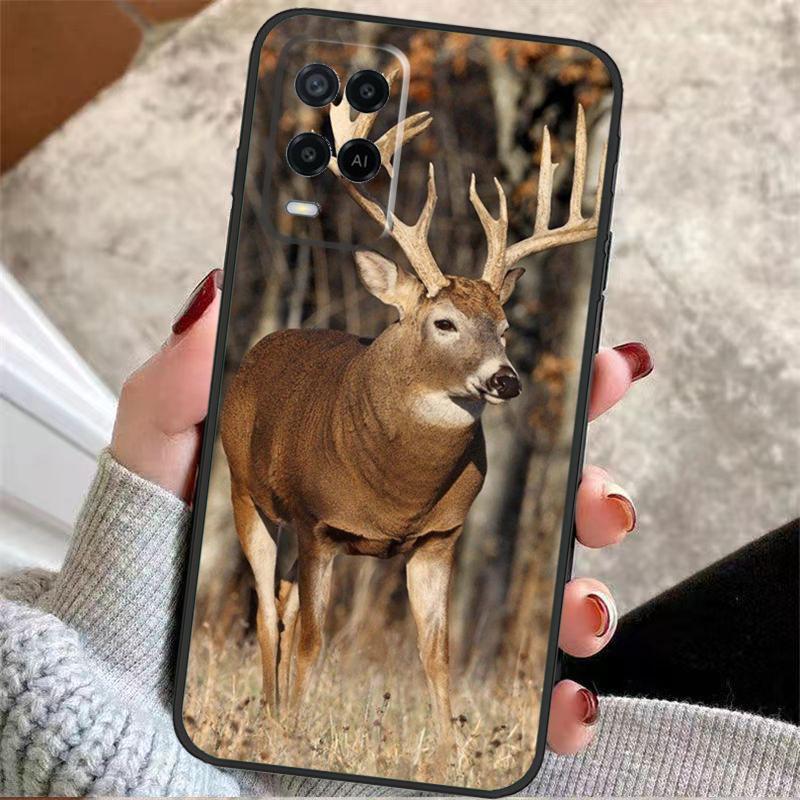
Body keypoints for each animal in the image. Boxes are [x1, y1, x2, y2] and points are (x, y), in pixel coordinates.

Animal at [220, 78, 606, 747]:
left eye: (504, 327)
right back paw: (271, 713)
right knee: (269, 607)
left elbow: (436, 652)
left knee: (285, 599)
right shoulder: (318, 523)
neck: (397, 492)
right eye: (444, 322)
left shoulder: (440, 537)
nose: (505, 379)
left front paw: (449, 752)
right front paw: (293, 731)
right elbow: (315, 640)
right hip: (247, 491)